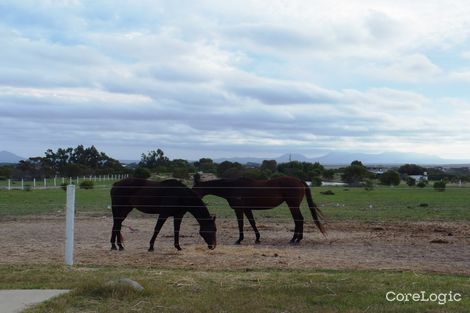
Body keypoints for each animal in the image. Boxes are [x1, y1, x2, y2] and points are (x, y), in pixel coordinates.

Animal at [193, 173, 324, 244]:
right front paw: (257, 238)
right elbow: (252, 223)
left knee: (299, 219)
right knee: (298, 220)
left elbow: (240, 224)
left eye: (193, 189)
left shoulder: (239, 209)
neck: (233, 187)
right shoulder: (247, 209)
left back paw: (295, 239)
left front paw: (239, 240)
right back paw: (296, 239)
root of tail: (299, 181)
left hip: (293, 205)